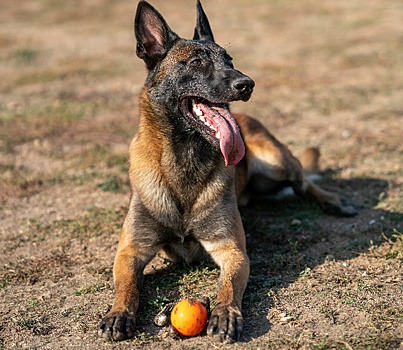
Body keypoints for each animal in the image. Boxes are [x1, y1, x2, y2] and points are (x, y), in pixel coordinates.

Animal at [99, 0, 358, 344]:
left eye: (229, 60)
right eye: (196, 62)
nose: (246, 83)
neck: (184, 162)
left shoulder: (232, 249)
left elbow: (229, 286)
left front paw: (224, 313)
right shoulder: (131, 250)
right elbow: (126, 285)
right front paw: (118, 312)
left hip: (276, 159)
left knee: (303, 182)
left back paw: (335, 202)